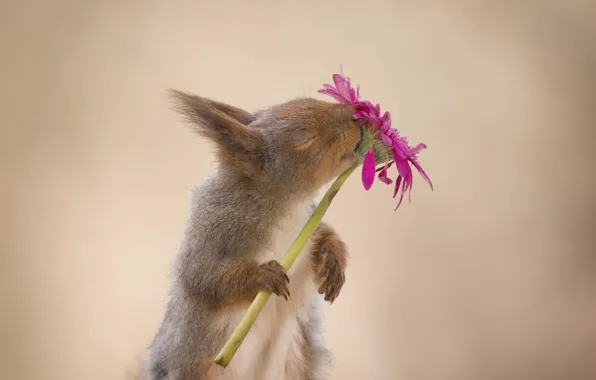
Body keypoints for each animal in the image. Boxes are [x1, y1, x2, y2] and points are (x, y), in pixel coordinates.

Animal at [142, 90, 360, 380]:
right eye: (304, 138)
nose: (358, 115)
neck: (285, 204)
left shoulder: (307, 225)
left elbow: (325, 235)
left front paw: (334, 260)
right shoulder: (214, 230)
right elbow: (205, 276)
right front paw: (262, 275)